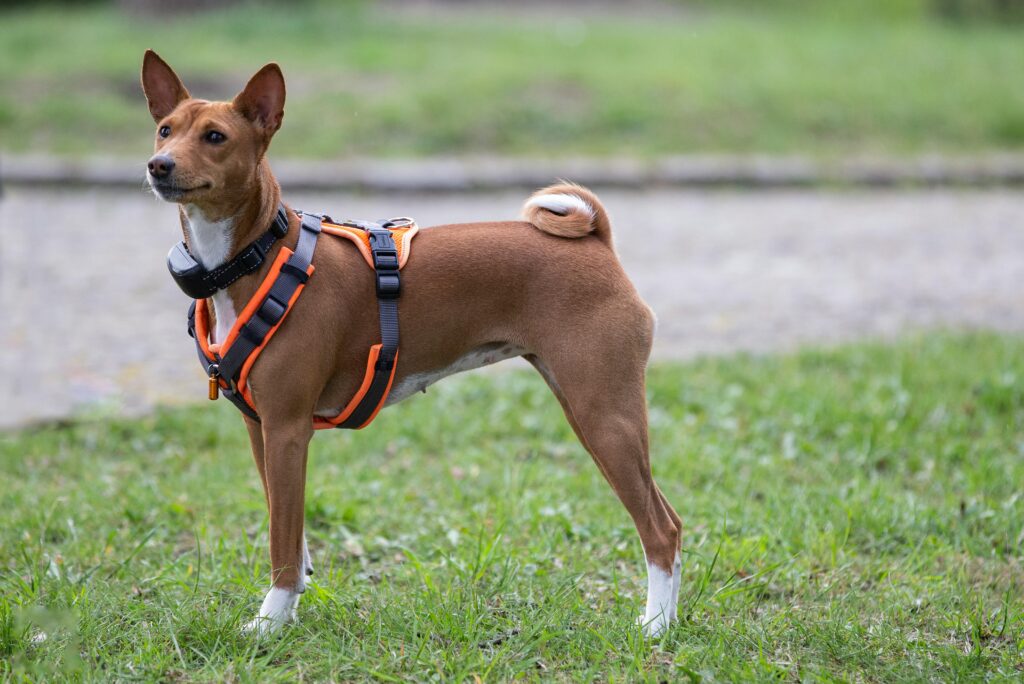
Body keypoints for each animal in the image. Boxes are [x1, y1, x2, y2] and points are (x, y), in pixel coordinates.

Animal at [138, 50, 679, 638]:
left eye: (215, 136)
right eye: (165, 130)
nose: (159, 165)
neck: (257, 256)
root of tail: (598, 241)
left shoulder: (287, 429)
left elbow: (281, 543)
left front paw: (270, 623)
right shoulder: (260, 429)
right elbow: (292, 529)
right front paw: (291, 605)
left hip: (604, 415)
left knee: (661, 529)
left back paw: (656, 628)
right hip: (588, 409)